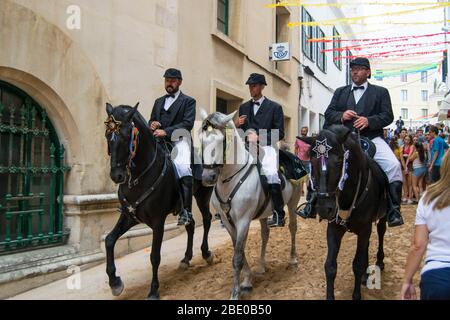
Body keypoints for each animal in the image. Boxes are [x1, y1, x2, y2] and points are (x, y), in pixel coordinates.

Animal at [104, 103, 214, 300]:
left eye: (126, 136)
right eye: (107, 136)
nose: (117, 176)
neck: (139, 176)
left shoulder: (158, 222)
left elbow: (154, 256)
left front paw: (154, 290)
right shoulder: (129, 216)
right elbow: (109, 240)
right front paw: (115, 282)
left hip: (203, 196)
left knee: (207, 219)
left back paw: (206, 253)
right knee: (191, 224)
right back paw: (186, 259)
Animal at [200, 110, 298, 300]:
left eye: (221, 140)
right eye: (201, 139)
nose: (208, 178)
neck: (230, 179)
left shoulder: (243, 220)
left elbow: (237, 256)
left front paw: (235, 293)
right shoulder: (229, 222)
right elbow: (239, 251)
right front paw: (246, 281)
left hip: (293, 202)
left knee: (292, 228)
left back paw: (292, 259)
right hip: (264, 213)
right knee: (265, 234)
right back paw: (261, 267)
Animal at [298, 125, 386, 300]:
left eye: (339, 160)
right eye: (312, 161)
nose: (324, 209)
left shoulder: (364, 229)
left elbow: (357, 265)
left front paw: (356, 295)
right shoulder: (334, 229)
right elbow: (330, 266)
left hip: (382, 217)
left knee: (381, 232)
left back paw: (380, 262)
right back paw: (366, 276)